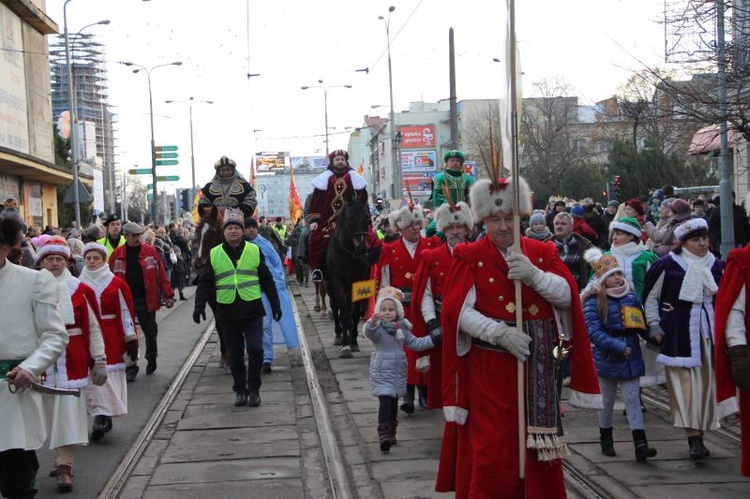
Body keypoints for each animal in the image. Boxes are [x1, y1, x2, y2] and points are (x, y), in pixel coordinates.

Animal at [324, 196, 374, 360]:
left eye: (366, 217)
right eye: (350, 218)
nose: (362, 249)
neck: (349, 254)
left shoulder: (357, 282)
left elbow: (355, 313)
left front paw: (353, 341)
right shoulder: (338, 282)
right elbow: (344, 314)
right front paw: (345, 346)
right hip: (329, 286)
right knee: (335, 307)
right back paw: (339, 336)